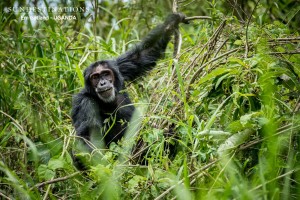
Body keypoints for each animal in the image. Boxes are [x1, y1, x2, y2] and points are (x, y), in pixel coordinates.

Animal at [71, 12, 186, 169]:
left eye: (106, 73)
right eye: (95, 77)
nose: (102, 83)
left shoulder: (120, 67)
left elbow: (141, 55)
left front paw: (172, 21)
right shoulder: (84, 103)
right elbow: (87, 135)